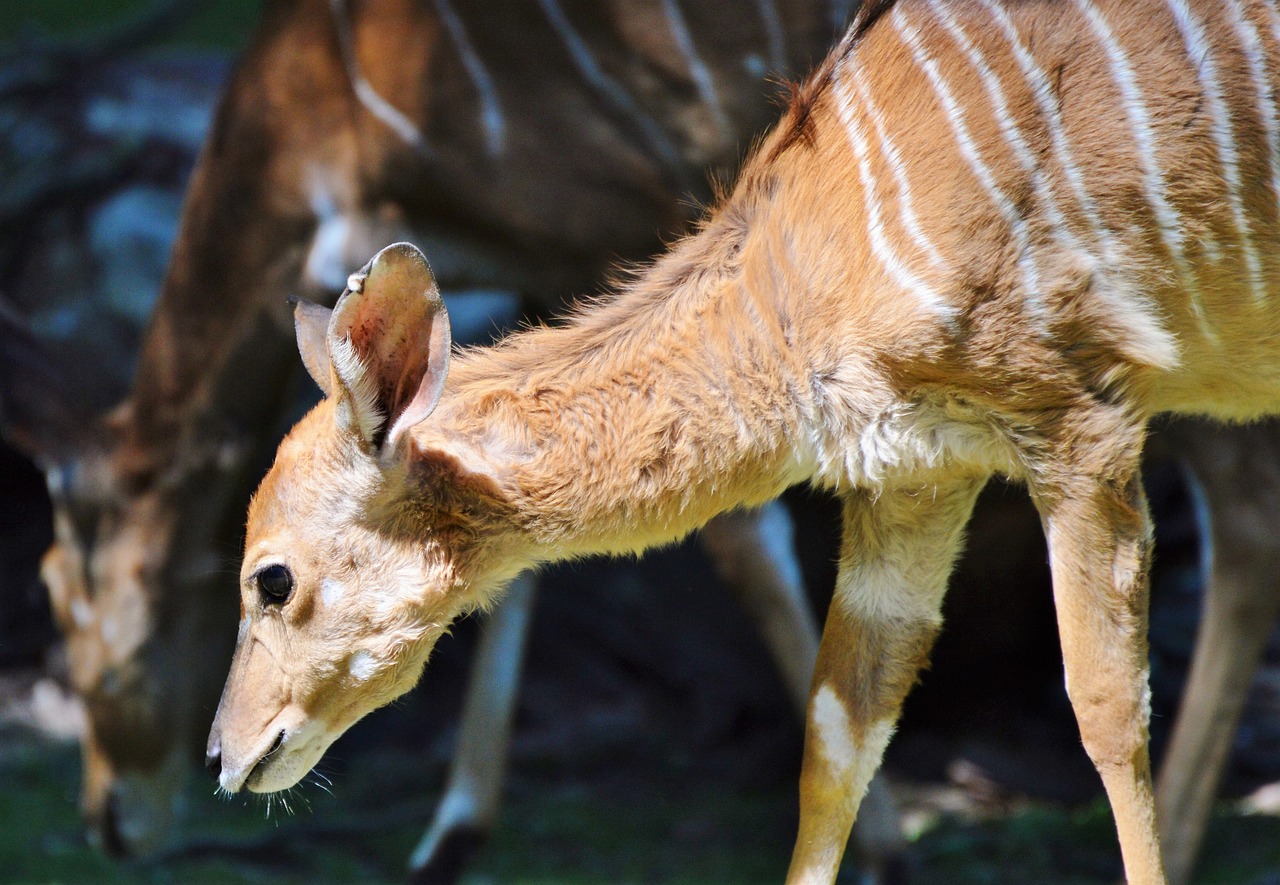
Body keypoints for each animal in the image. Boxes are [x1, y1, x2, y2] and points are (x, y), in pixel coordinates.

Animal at [5, 0, 916, 881]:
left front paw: (881, 849)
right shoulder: (540, 273)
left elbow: (738, 531)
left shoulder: (629, 217)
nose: (108, 818)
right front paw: (450, 834)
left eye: (59, 591)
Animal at [207, 0, 1280, 881]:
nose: (224, 754)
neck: (801, 275)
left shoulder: (1080, 422)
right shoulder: (918, 477)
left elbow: (1107, 710)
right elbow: (837, 734)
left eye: (272, 577)